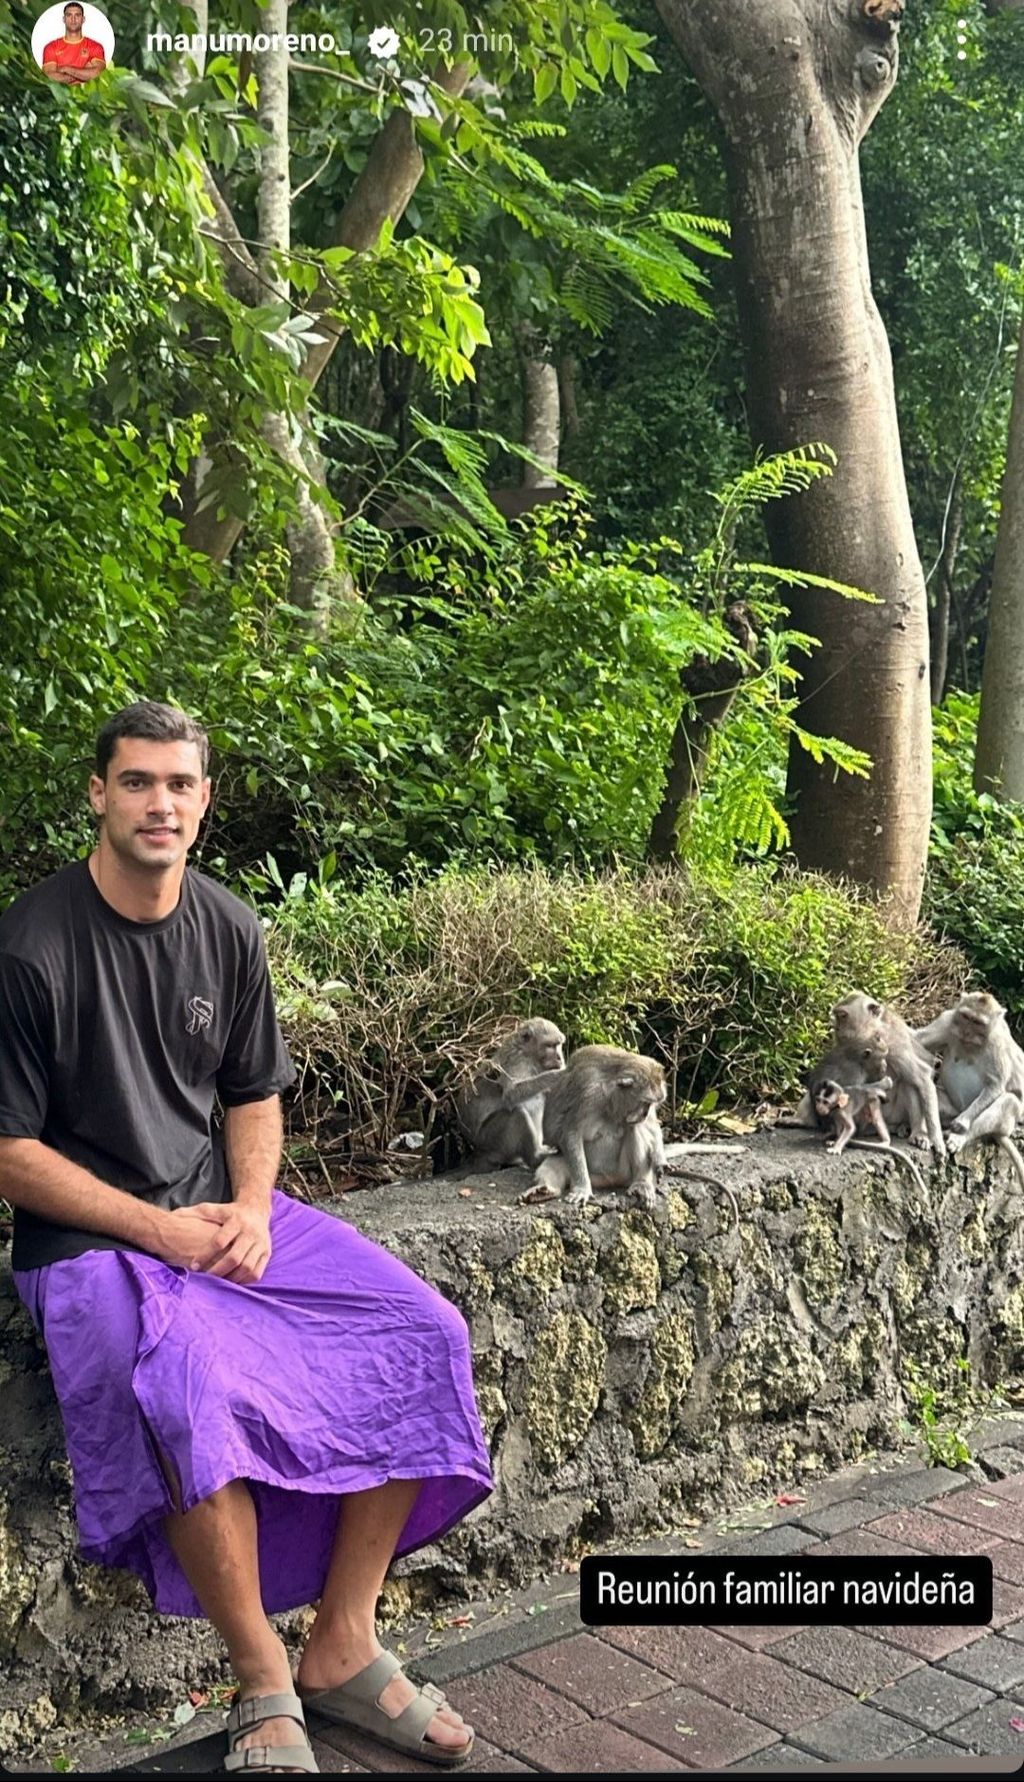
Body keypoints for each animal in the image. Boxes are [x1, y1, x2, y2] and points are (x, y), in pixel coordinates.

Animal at [459, 1019, 569, 1168]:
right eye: (550, 1045)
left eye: (558, 1045)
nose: (559, 1057)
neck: (528, 1054)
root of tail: (479, 1151)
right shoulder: (517, 1060)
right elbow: (511, 1094)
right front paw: (555, 1075)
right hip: (491, 1140)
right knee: (518, 1113)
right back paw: (535, 1157)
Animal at [502, 1040, 669, 1211]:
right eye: (645, 1103)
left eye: (650, 1104)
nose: (644, 1114)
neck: (611, 1098)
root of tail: (609, 1180)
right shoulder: (590, 1096)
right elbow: (571, 1133)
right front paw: (582, 1189)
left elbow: (651, 1126)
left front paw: (660, 1159)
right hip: (592, 1174)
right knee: (555, 1162)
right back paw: (544, 1190)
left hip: (624, 1172)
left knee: (635, 1128)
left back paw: (641, 1184)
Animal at [911, 997, 1024, 1190]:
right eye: (966, 1017)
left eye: (978, 1022)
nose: (966, 1032)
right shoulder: (947, 1020)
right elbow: (917, 1043)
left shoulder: (998, 1042)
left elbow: (996, 1085)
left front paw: (962, 1125)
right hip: (952, 1109)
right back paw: (922, 1131)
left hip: (1004, 1123)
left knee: (1009, 1101)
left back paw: (959, 1136)